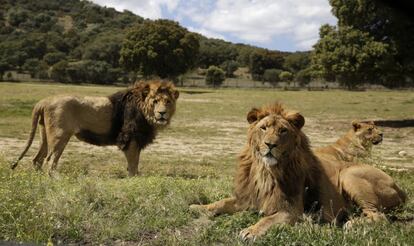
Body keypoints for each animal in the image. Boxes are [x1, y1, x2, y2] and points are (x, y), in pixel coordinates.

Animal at [11, 80, 179, 177]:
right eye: (155, 101)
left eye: (168, 102)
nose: (162, 113)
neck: (145, 111)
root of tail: (44, 101)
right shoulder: (129, 137)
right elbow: (133, 163)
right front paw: (133, 180)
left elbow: (135, 163)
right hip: (60, 136)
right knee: (49, 159)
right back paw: (54, 179)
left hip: (45, 135)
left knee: (37, 159)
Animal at [189, 102, 406, 240]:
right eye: (263, 128)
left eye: (283, 131)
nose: (270, 144)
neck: (266, 171)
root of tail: (400, 189)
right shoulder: (247, 197)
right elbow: (222, 202)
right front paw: (198, 207)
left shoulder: (292, 210)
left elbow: (268, 219)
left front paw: (250, 230)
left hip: (349, 175)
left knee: (379, 216)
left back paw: (352, 224)